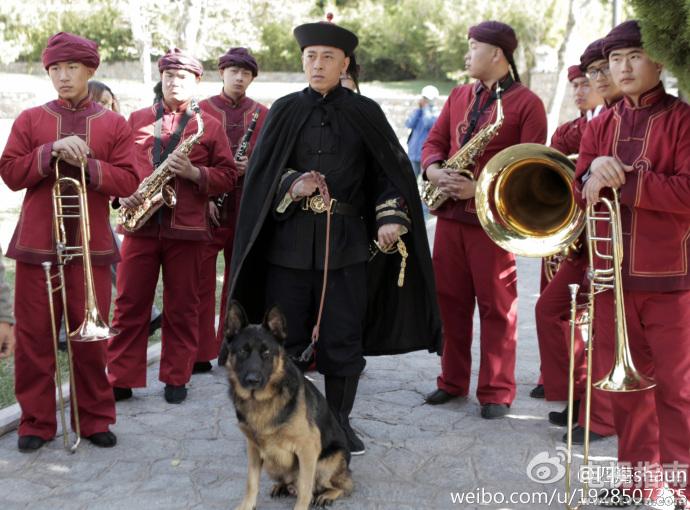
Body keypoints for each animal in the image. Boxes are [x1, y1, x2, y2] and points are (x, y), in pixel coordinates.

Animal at [218, 300, 352, 508]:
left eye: (266, 352)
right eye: (242, 352)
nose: (252, 380)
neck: (261, 401)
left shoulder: (308, 448)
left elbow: (305, 488)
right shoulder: (254, 449)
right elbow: (251, 482)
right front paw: (247, 505)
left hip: (326, 463)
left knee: (344, 485)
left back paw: (327, 495)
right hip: (271, 463)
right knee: (290, 482)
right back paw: (282, 486)